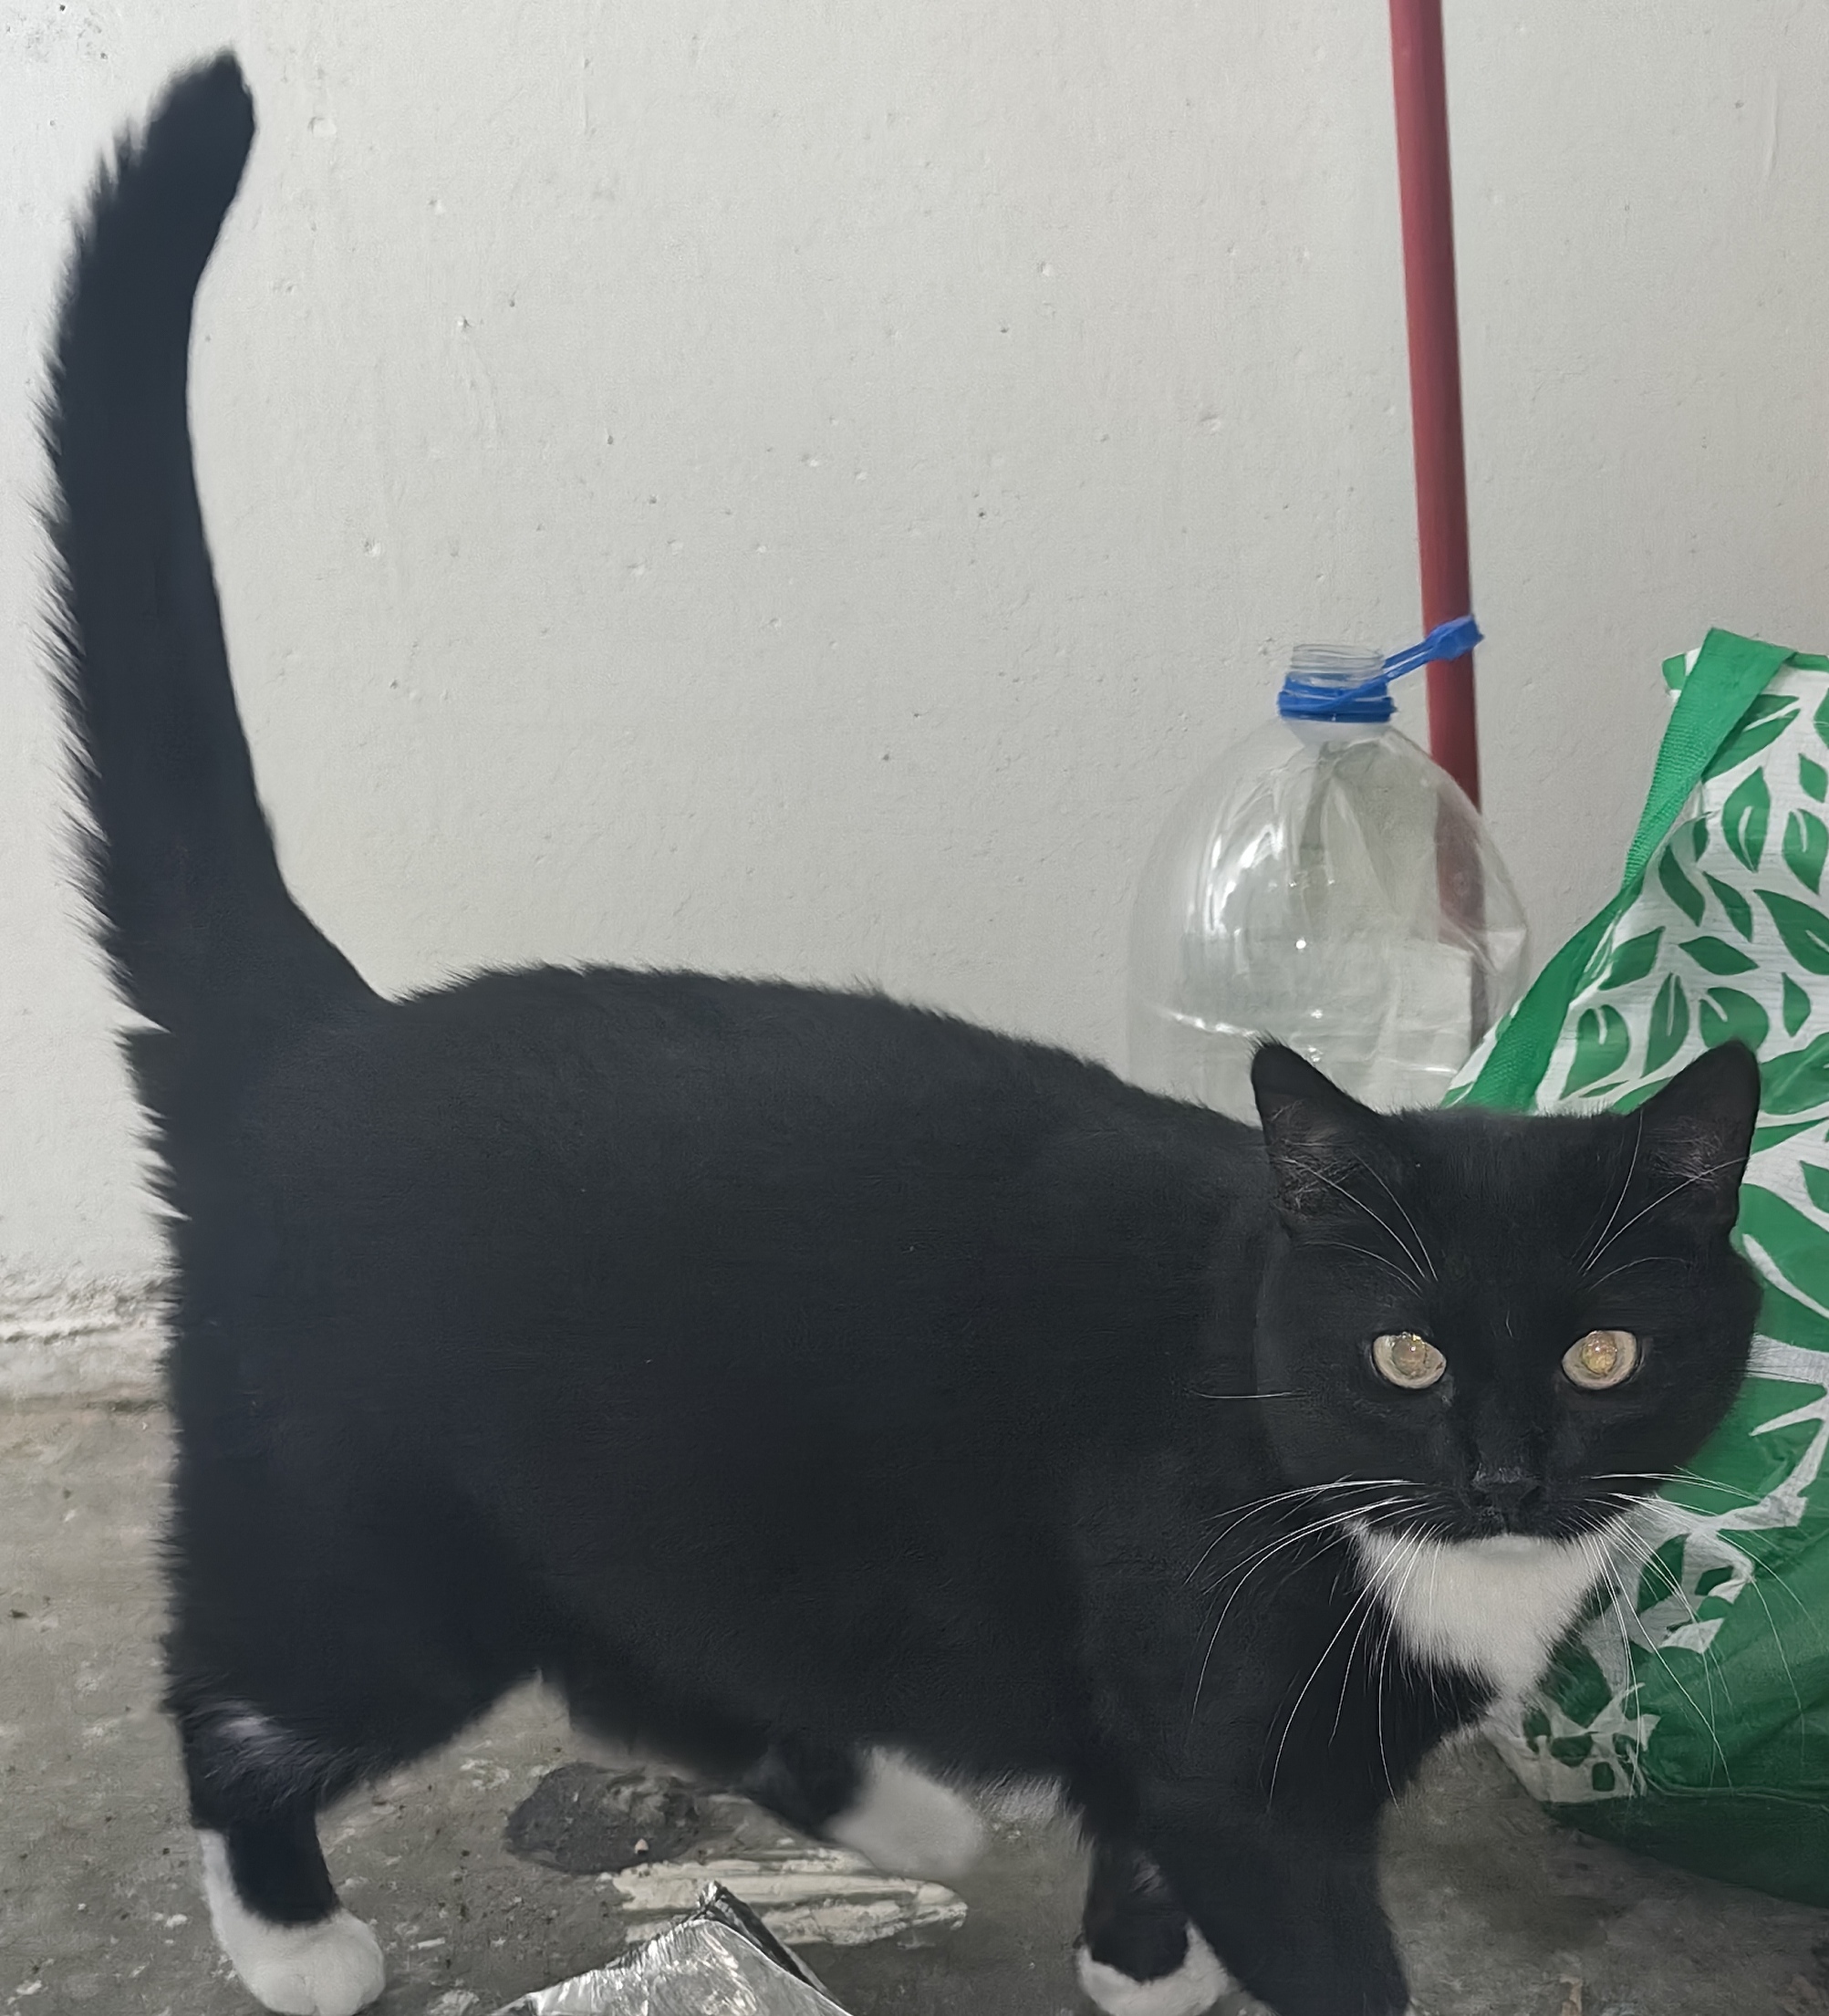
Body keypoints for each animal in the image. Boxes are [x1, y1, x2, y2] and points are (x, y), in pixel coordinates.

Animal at [40, 55, 1763, 2016]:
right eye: (1403, 1355)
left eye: (1606, 1354)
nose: (1505, 1468)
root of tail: (318, 1028)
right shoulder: (1238, 1756)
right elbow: (1306, 1928)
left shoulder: (1166, 1749)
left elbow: (1143, 1853)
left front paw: (1139, 1970)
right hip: (368, 1542)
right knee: (247, 1697)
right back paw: (293, 1937)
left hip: (644, 1513)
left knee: (623, 1666)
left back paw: (906, 1816)